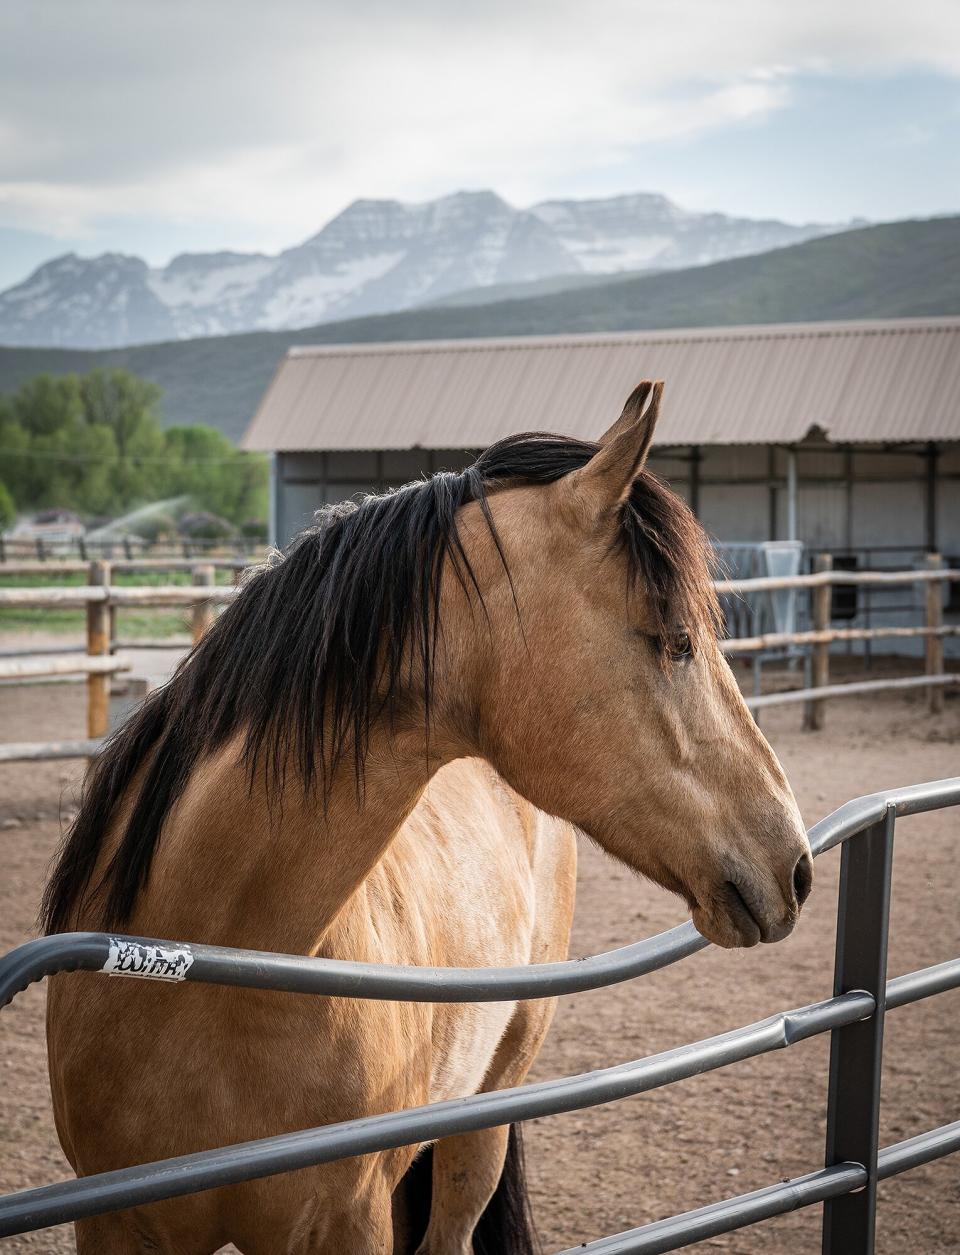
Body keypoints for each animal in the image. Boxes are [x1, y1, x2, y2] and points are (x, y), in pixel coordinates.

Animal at [42, 381, 808, 1255]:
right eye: (677, 641)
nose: (795, 862)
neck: (203, 966)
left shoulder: (347, 1221)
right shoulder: (116, 1224)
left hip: (483, 1119)